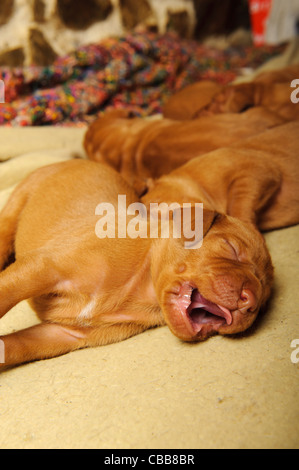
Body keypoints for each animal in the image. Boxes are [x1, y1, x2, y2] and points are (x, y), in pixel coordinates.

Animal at [0, 160, 274, 370]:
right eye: (232, 248)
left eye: (262, 300)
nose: (249, 301)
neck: (139, 288)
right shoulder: (45, 266)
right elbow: (6, 292)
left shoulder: (61, 334)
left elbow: (12, 347)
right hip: (17, 204)